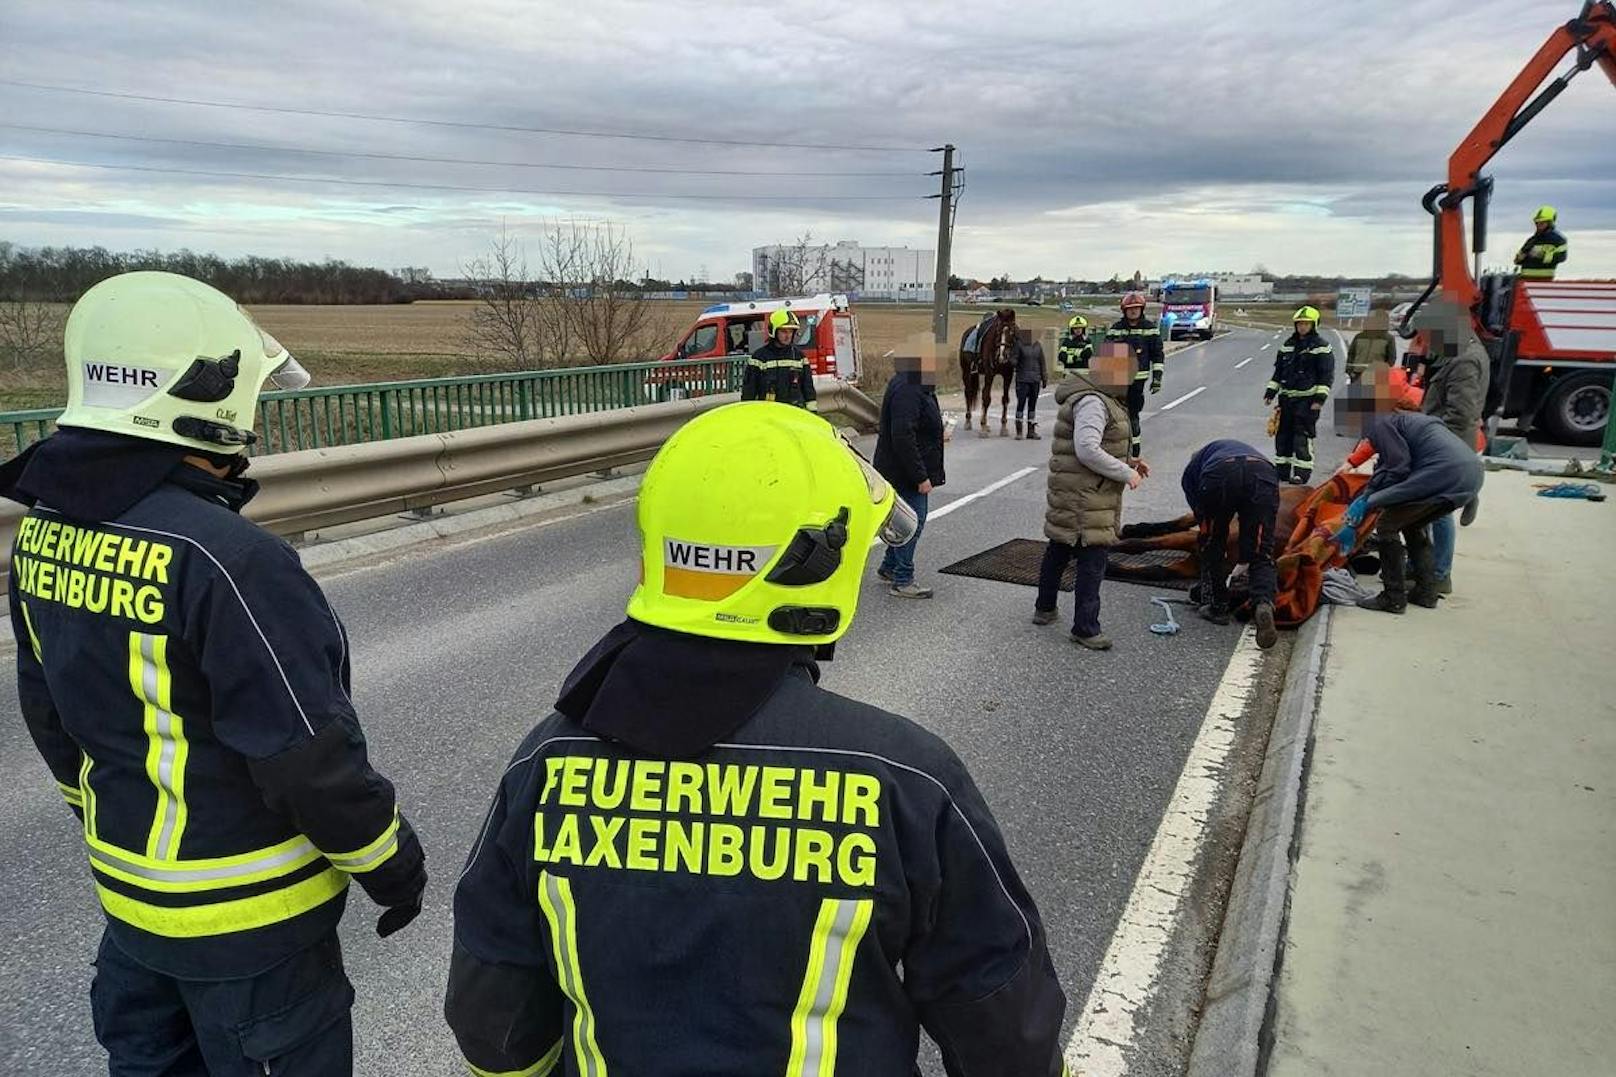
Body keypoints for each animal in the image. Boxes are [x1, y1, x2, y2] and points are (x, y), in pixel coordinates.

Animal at [950, 305, 1014, 433]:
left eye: (1011, 331)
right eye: (998, 331)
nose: (1002, 355)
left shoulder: (1008, 375)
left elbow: (1005, 399)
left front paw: (1003, 427)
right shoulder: (990, 374)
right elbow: (986, 398)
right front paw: (983, 426)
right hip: (966, 372)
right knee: (968, 393)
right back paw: (968, 421)